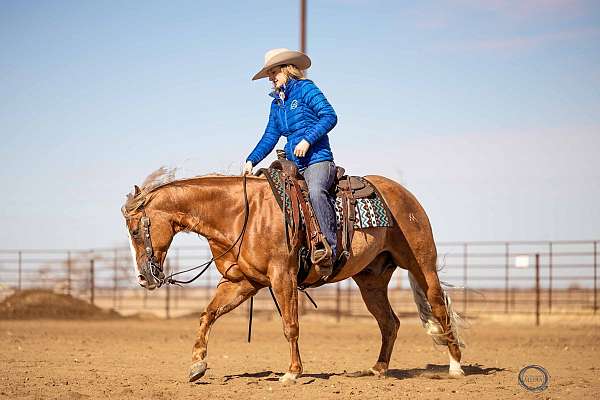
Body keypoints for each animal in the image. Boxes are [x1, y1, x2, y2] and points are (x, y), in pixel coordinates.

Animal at [122, 168, 466, 384]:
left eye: (137, 231)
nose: (144, 278)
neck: (242, 214)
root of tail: (405, 195)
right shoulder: (242, 283)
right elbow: (208, 314)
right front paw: (197, 365)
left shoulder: (282, 277)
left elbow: (290, 325)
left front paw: (292, 372)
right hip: (371, 280)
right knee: (389, 322)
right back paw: (378, 369)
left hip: (423, 265)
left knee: (439, 307)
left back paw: (456, 367)